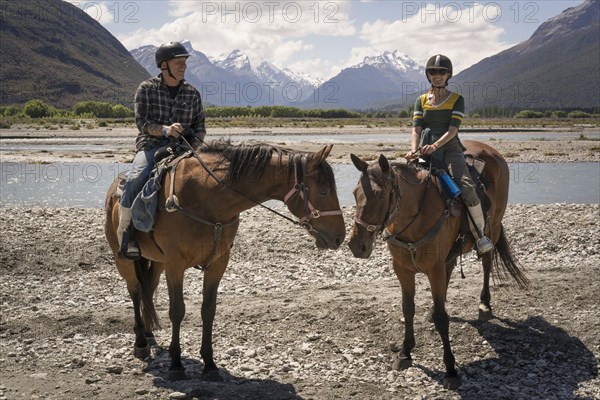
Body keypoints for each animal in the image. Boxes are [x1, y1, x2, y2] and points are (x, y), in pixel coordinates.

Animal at [105, 141, 344, 382]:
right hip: (123, 258)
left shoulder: (217, 263)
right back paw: (140, 343)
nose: (339, 237)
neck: (207, 199)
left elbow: (208, 310)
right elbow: (177, 311)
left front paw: (210, 364)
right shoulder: (175, 264)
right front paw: (176, 364)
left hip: (157, 261)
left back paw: (149, 334)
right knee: (135, 291)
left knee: (149, 289)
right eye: (323, 190)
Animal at [350, 140, 528, 388]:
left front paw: (451, 369)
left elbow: (442, 319)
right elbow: (408, 308)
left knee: (486, 262)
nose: (357, 245)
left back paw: (485, 304)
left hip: (492, 228)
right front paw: (405, 352)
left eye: (380, 194)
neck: (415, 217)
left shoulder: (434, 270)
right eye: (355, 193)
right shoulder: (402, 269)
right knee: (451, 269)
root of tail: (491, 151)